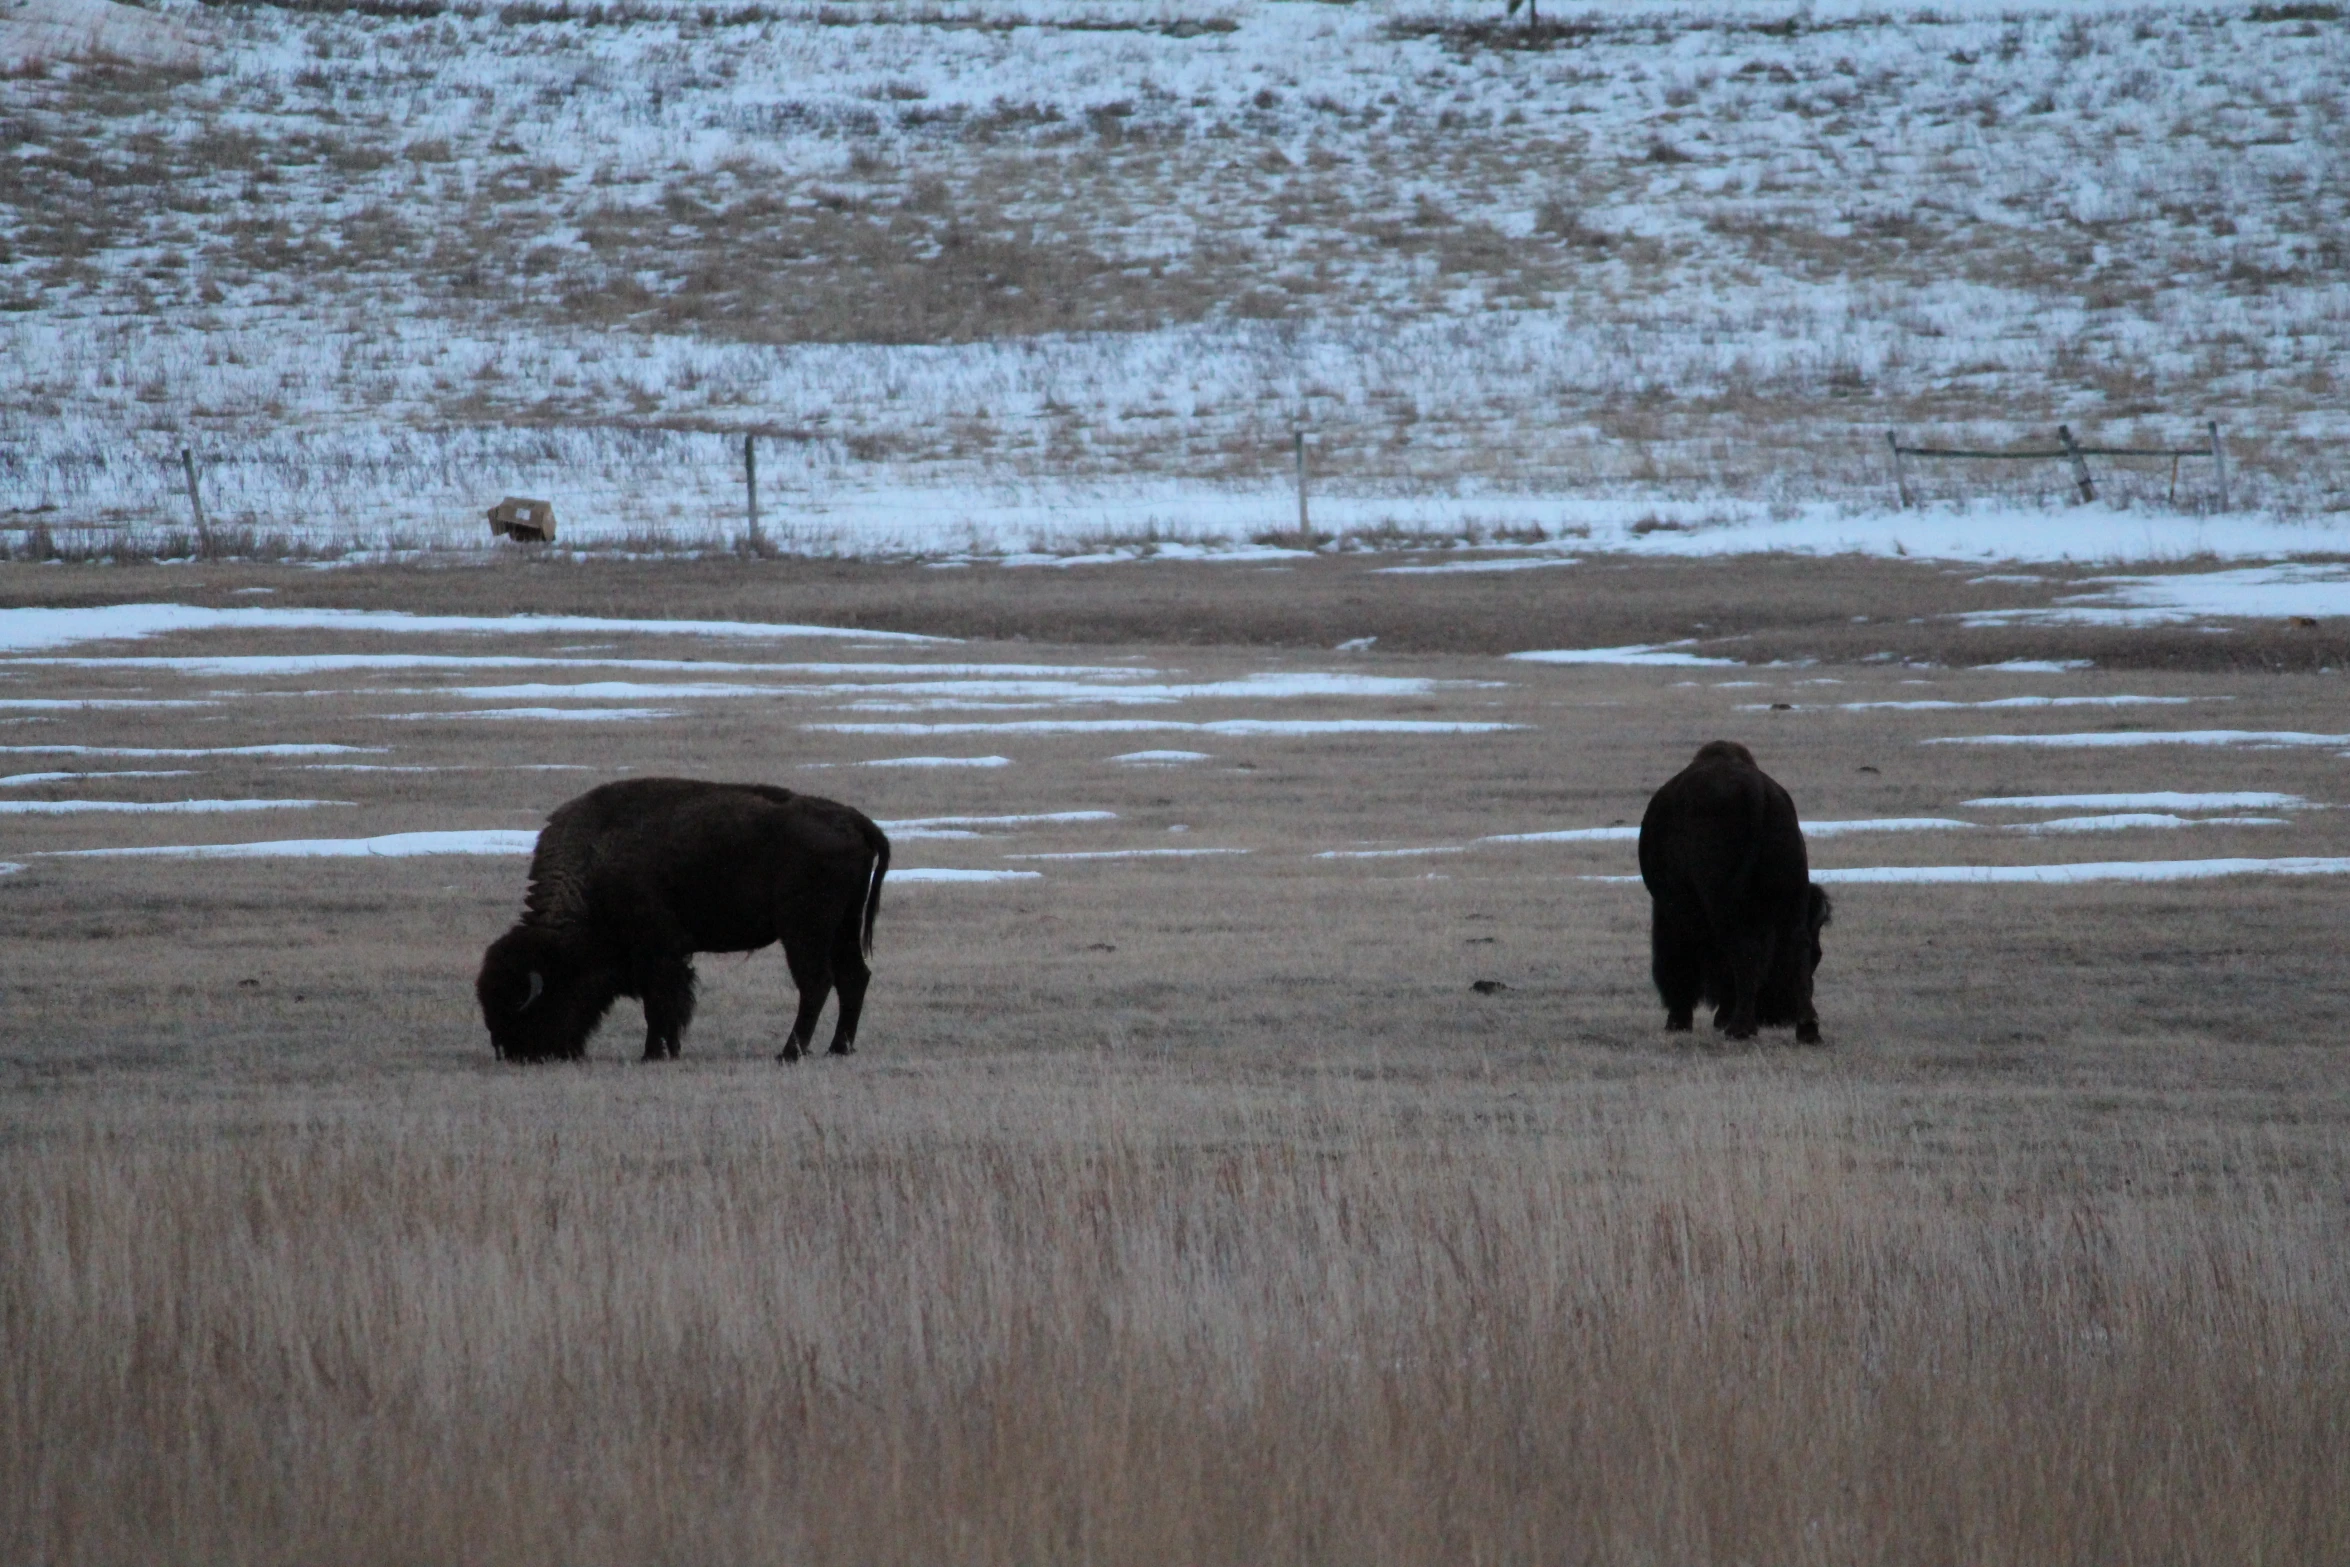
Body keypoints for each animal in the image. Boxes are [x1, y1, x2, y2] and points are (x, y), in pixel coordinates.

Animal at [477, 779, 888, 1066]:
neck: (595, 862)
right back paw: (838, 1048)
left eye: (530, 1006)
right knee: (854, 977)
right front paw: (669, 1049)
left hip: (804, 931)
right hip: (842, 928)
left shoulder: (657, 951)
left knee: (817, 983)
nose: (516, 1053)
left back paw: (789, 1053)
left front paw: (653, 1053)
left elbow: (660, 1000)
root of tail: (855, 819)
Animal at [1644, 747, 1823, 1047]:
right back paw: (1807, 1029)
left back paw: (1739, 1029)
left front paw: (1678, 1022)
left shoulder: (1671, 912)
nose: (1779, 1015)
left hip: (1724, 904)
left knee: (1742, 950)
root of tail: (1757, 793)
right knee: (1796, 944)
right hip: (1791, 897)